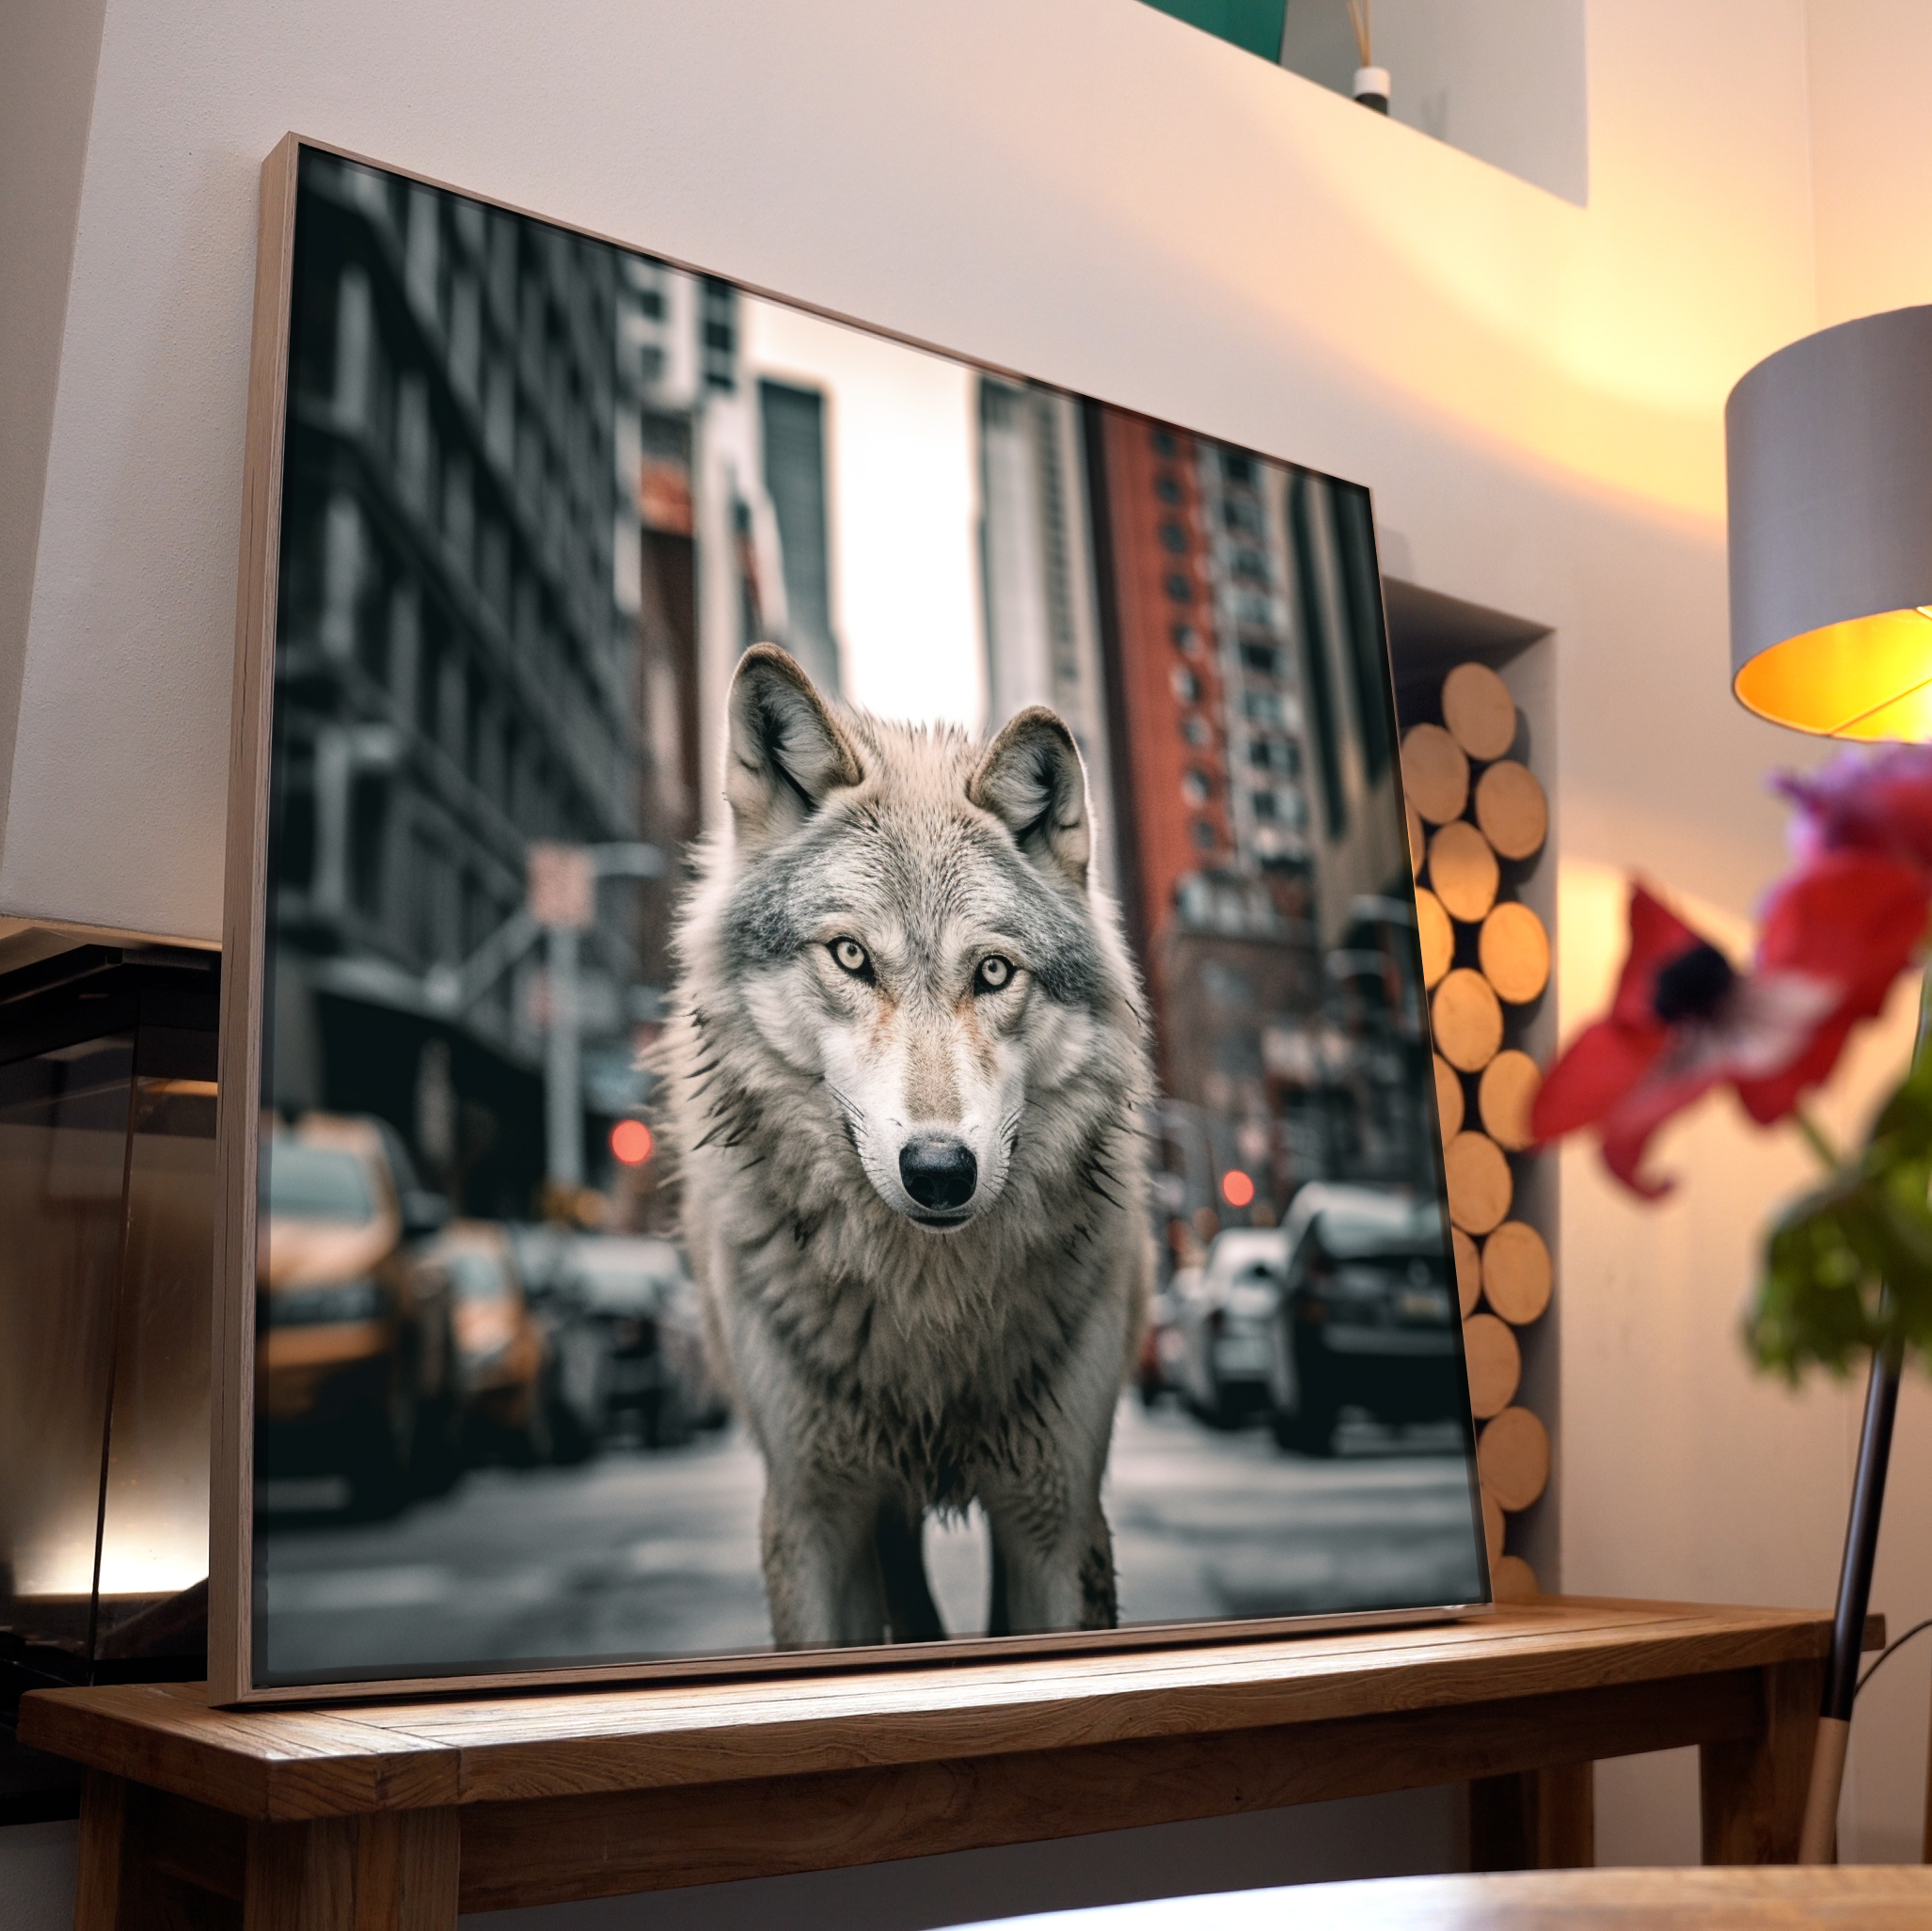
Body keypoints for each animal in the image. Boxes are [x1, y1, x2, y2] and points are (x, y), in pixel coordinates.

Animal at [662, 644, 1154, 1650]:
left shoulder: (1055, 1516)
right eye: (852, 957)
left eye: (994, 971)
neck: (926, 1320)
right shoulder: (814, 1517)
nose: (938, 1172)